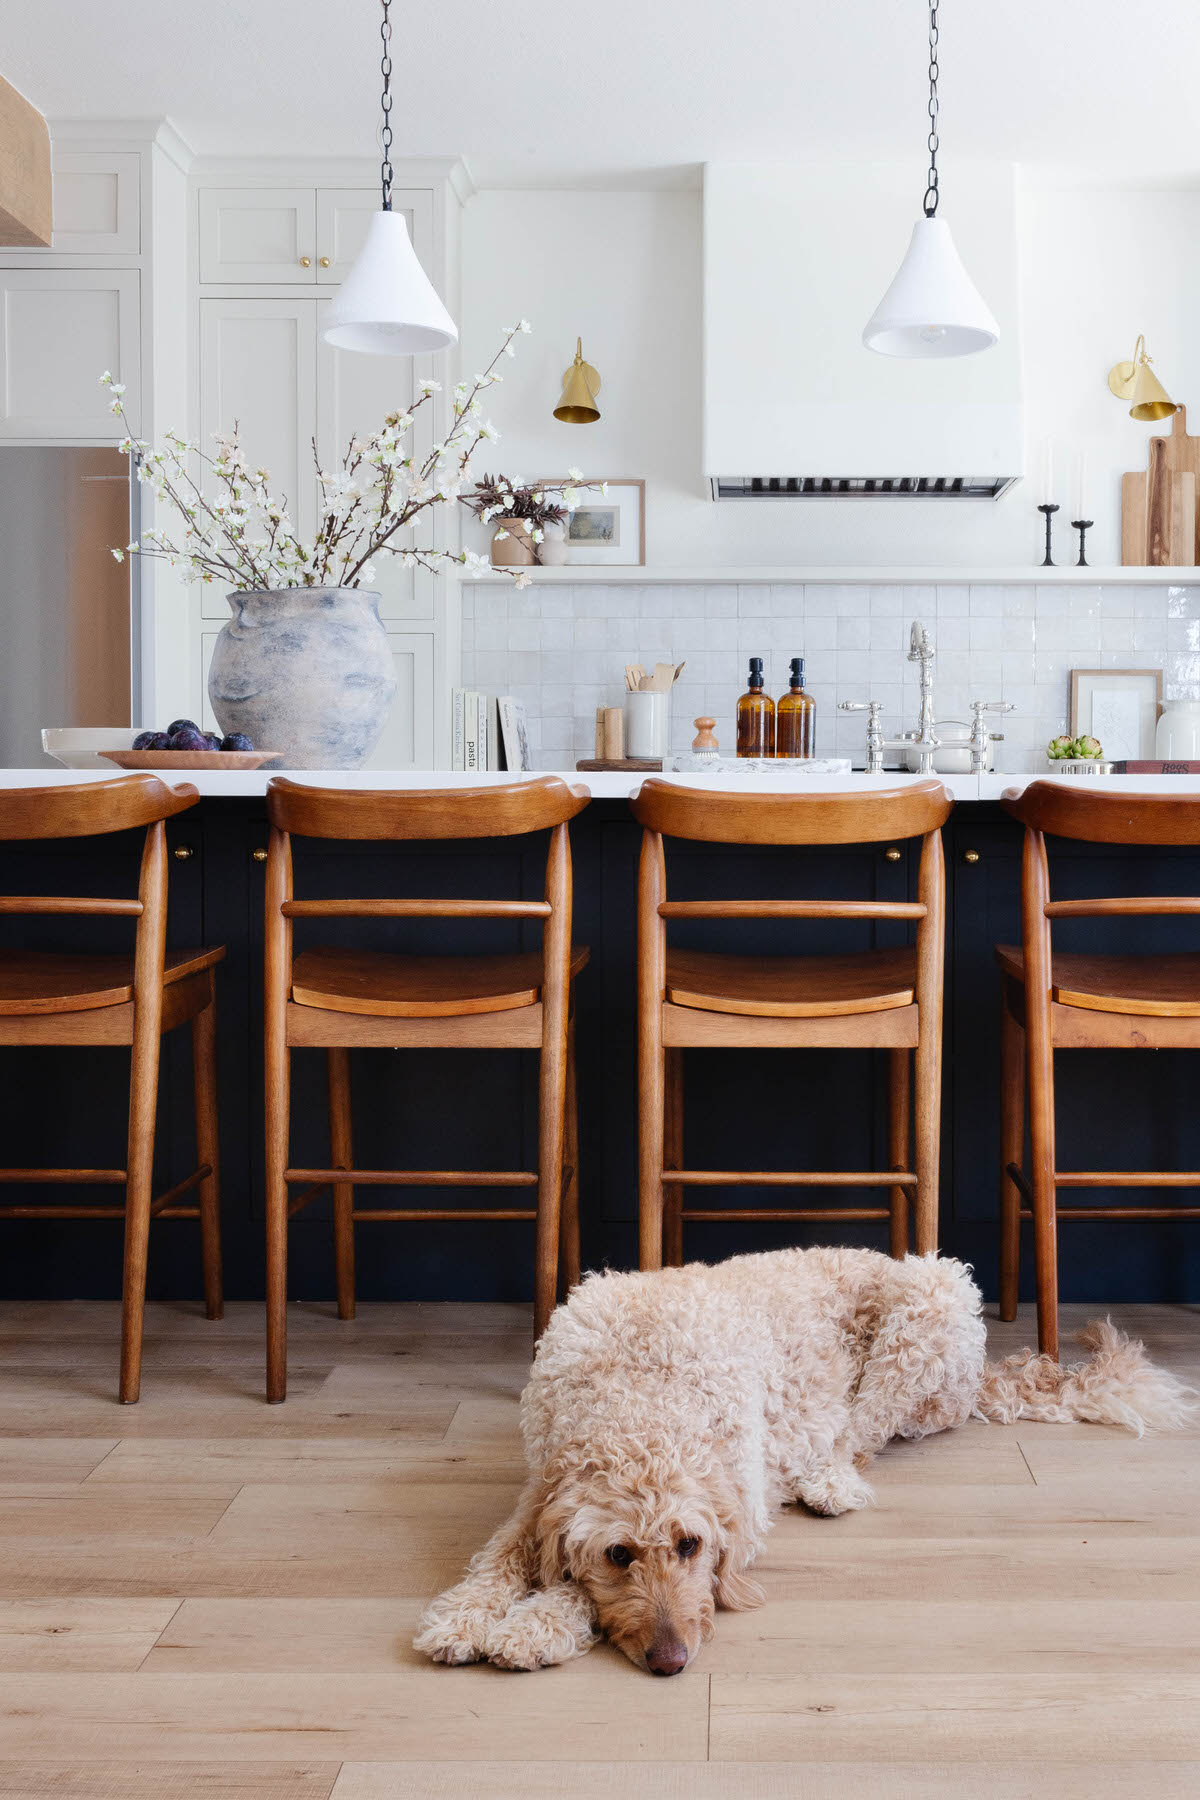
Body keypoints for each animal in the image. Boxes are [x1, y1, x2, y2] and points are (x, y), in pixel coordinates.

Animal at [417, 1252, 1187, 1670]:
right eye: (618, 1555)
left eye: (690, 1546)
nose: (672, 1661)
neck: (640, 1391)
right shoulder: (540, 1485)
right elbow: (500, 1556)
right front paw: (464, 1617)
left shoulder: (739, 1500)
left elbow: (566, 1588)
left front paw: (533, 1626)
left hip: (928, 1311)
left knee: (860, 1435)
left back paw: (827, 1479)